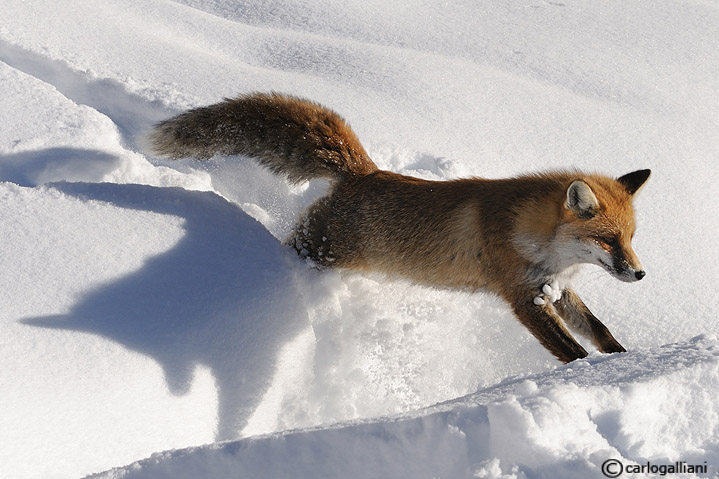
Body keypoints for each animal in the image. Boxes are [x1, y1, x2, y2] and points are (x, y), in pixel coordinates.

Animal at [146, 93, 652, 364]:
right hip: (318, 252)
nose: (640, 274)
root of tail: (364, 173)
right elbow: (572, 350)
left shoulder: (555, 287)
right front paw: (590, 379)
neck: (535, 238)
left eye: (630, 239)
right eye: (608, 239)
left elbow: (599, 329)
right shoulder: (522, 295)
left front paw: (627, 359)